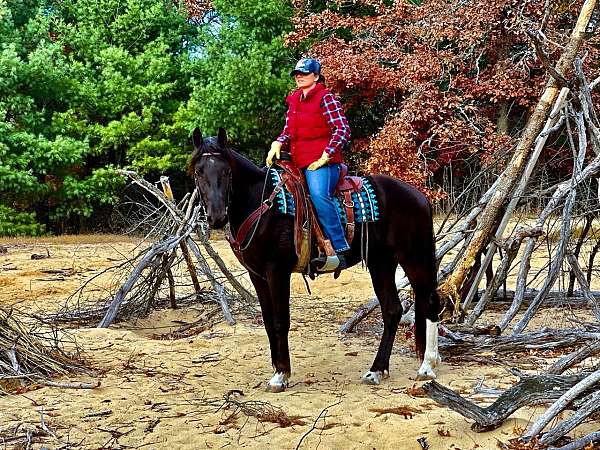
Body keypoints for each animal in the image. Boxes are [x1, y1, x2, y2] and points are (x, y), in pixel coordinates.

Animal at [190, 128, 442, 392]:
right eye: (199, 171)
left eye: (227, 171)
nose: (217, 217)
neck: (262, 204)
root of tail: (419, 196)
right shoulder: (257, 274)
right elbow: (268, 322)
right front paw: (277, 367)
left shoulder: (276, 271)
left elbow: (280, 321)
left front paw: (281, 375)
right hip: (381, 263)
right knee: (392, 310)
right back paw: (376, 370)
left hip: (415, 258)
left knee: (430, 302)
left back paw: (427, 366)